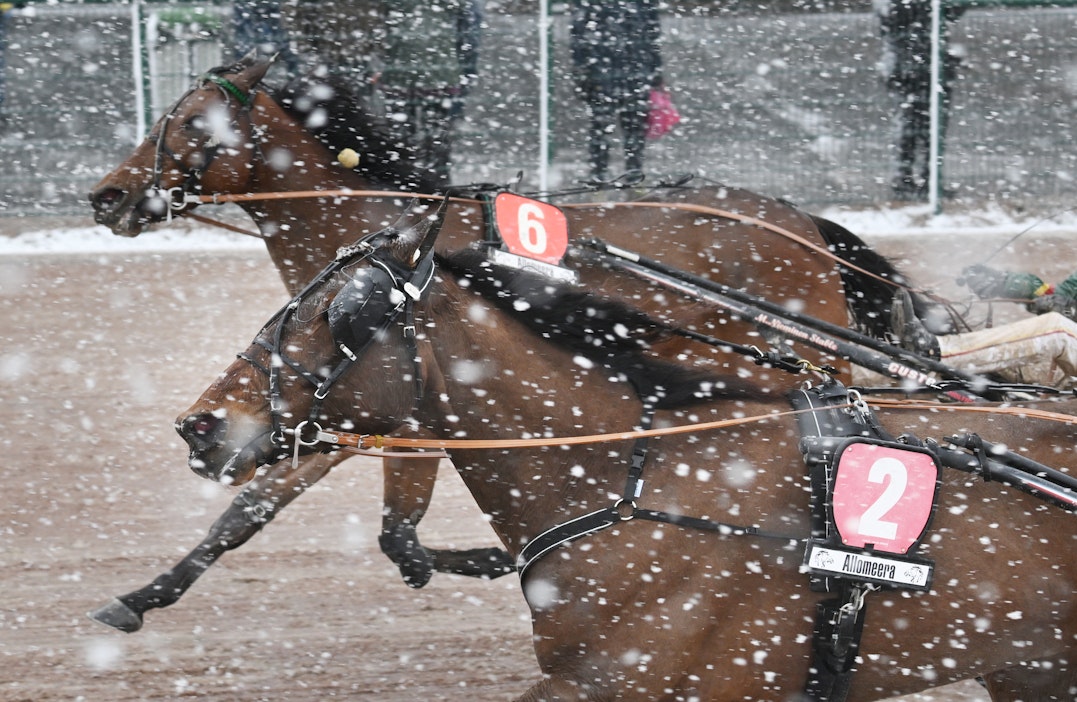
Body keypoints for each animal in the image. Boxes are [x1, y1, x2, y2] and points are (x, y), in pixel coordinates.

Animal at [86, 54, 933, 630]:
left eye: (191, 124)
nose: (108, 195)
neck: (391, 238)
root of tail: (801, 224)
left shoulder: (394, 409)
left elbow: (394, 535)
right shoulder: (349, 408)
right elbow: (260, 512)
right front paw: (141, 596)